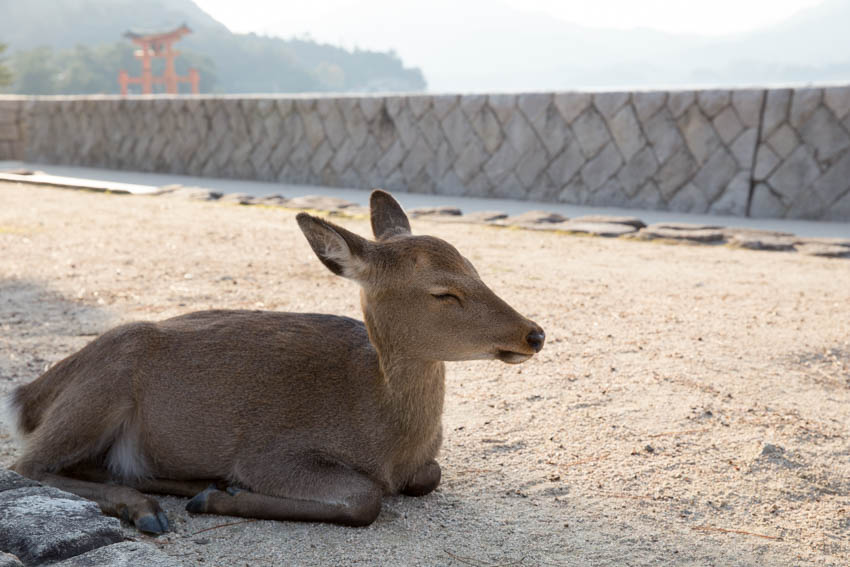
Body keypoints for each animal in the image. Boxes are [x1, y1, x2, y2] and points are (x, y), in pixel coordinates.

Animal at [4, 191, 544, 532]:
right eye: (443, 292)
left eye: (475, 269)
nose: (534, 333)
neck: (388, 444)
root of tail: (27, 396)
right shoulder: (271, 451)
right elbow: (364, 497)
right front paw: (220, 498)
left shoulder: (420, 466)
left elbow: (430, 476)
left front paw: (218, 492)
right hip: (99, 389)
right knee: (28, 465)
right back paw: (155, 508)